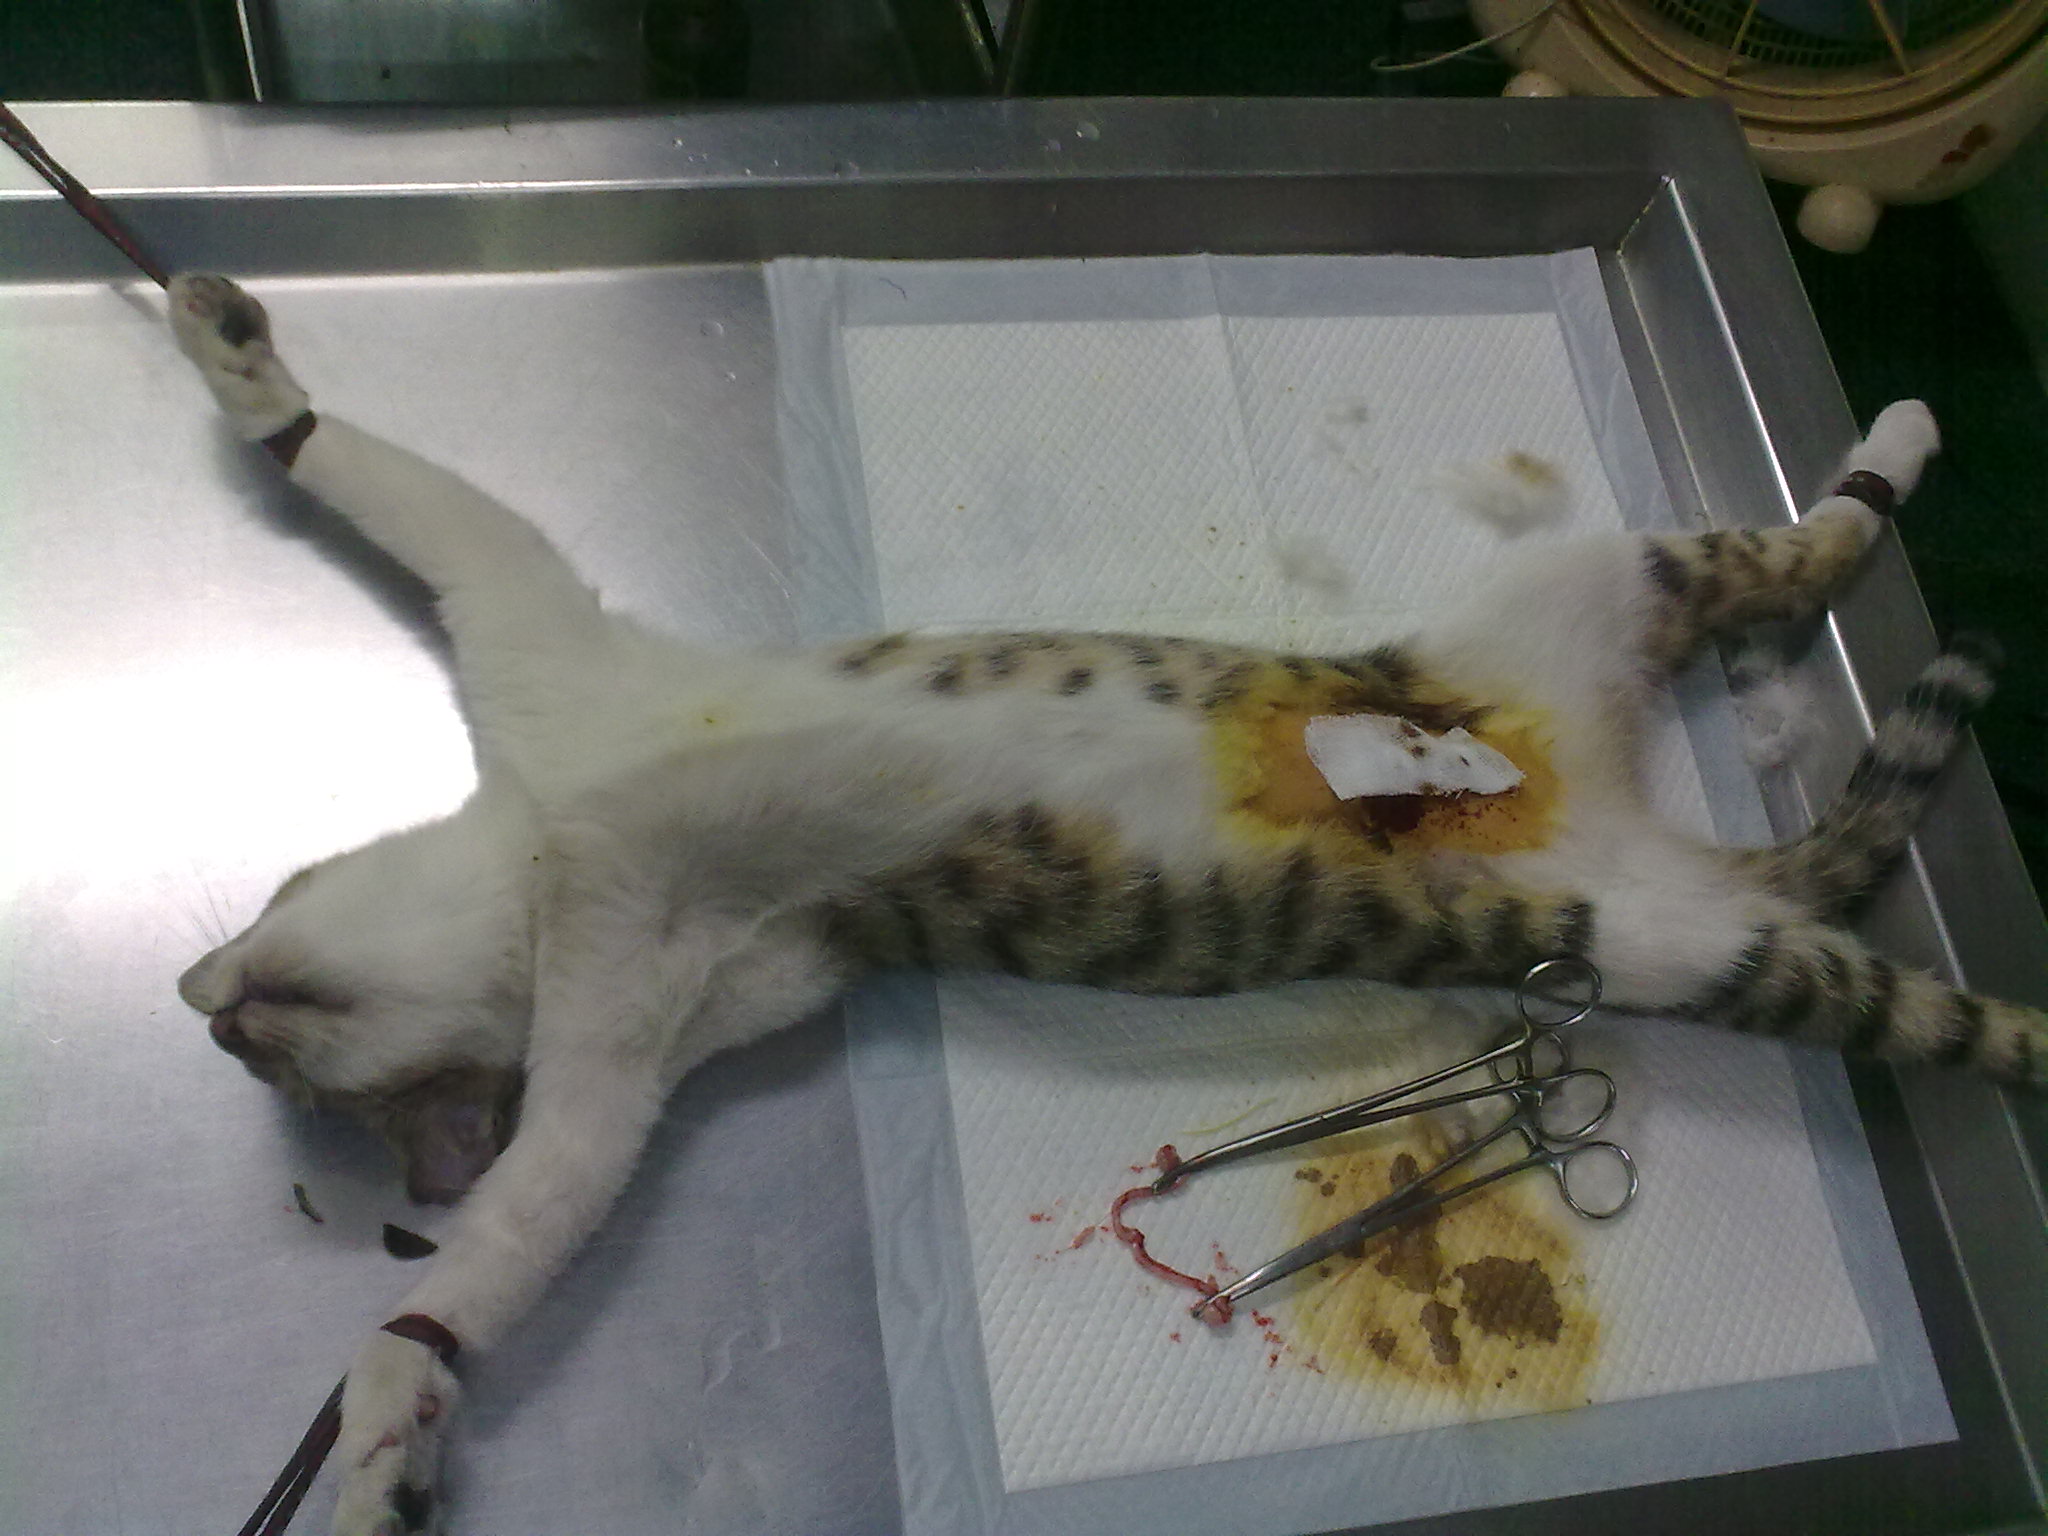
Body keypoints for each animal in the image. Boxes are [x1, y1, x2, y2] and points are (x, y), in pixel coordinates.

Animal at [164, 273, 2041, 1536]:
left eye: (282, 1053)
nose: (213, 1007)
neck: (556, 844)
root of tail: (1626, 801)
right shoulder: (644, 1038)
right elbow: (521, 1230)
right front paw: (396, 1416)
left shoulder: (549, 648)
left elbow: (410, 492)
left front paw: (248, 374)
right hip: (1673, 926)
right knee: (1899, 931)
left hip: (1586, 602)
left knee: (1811, 566)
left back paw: (1898, 437)